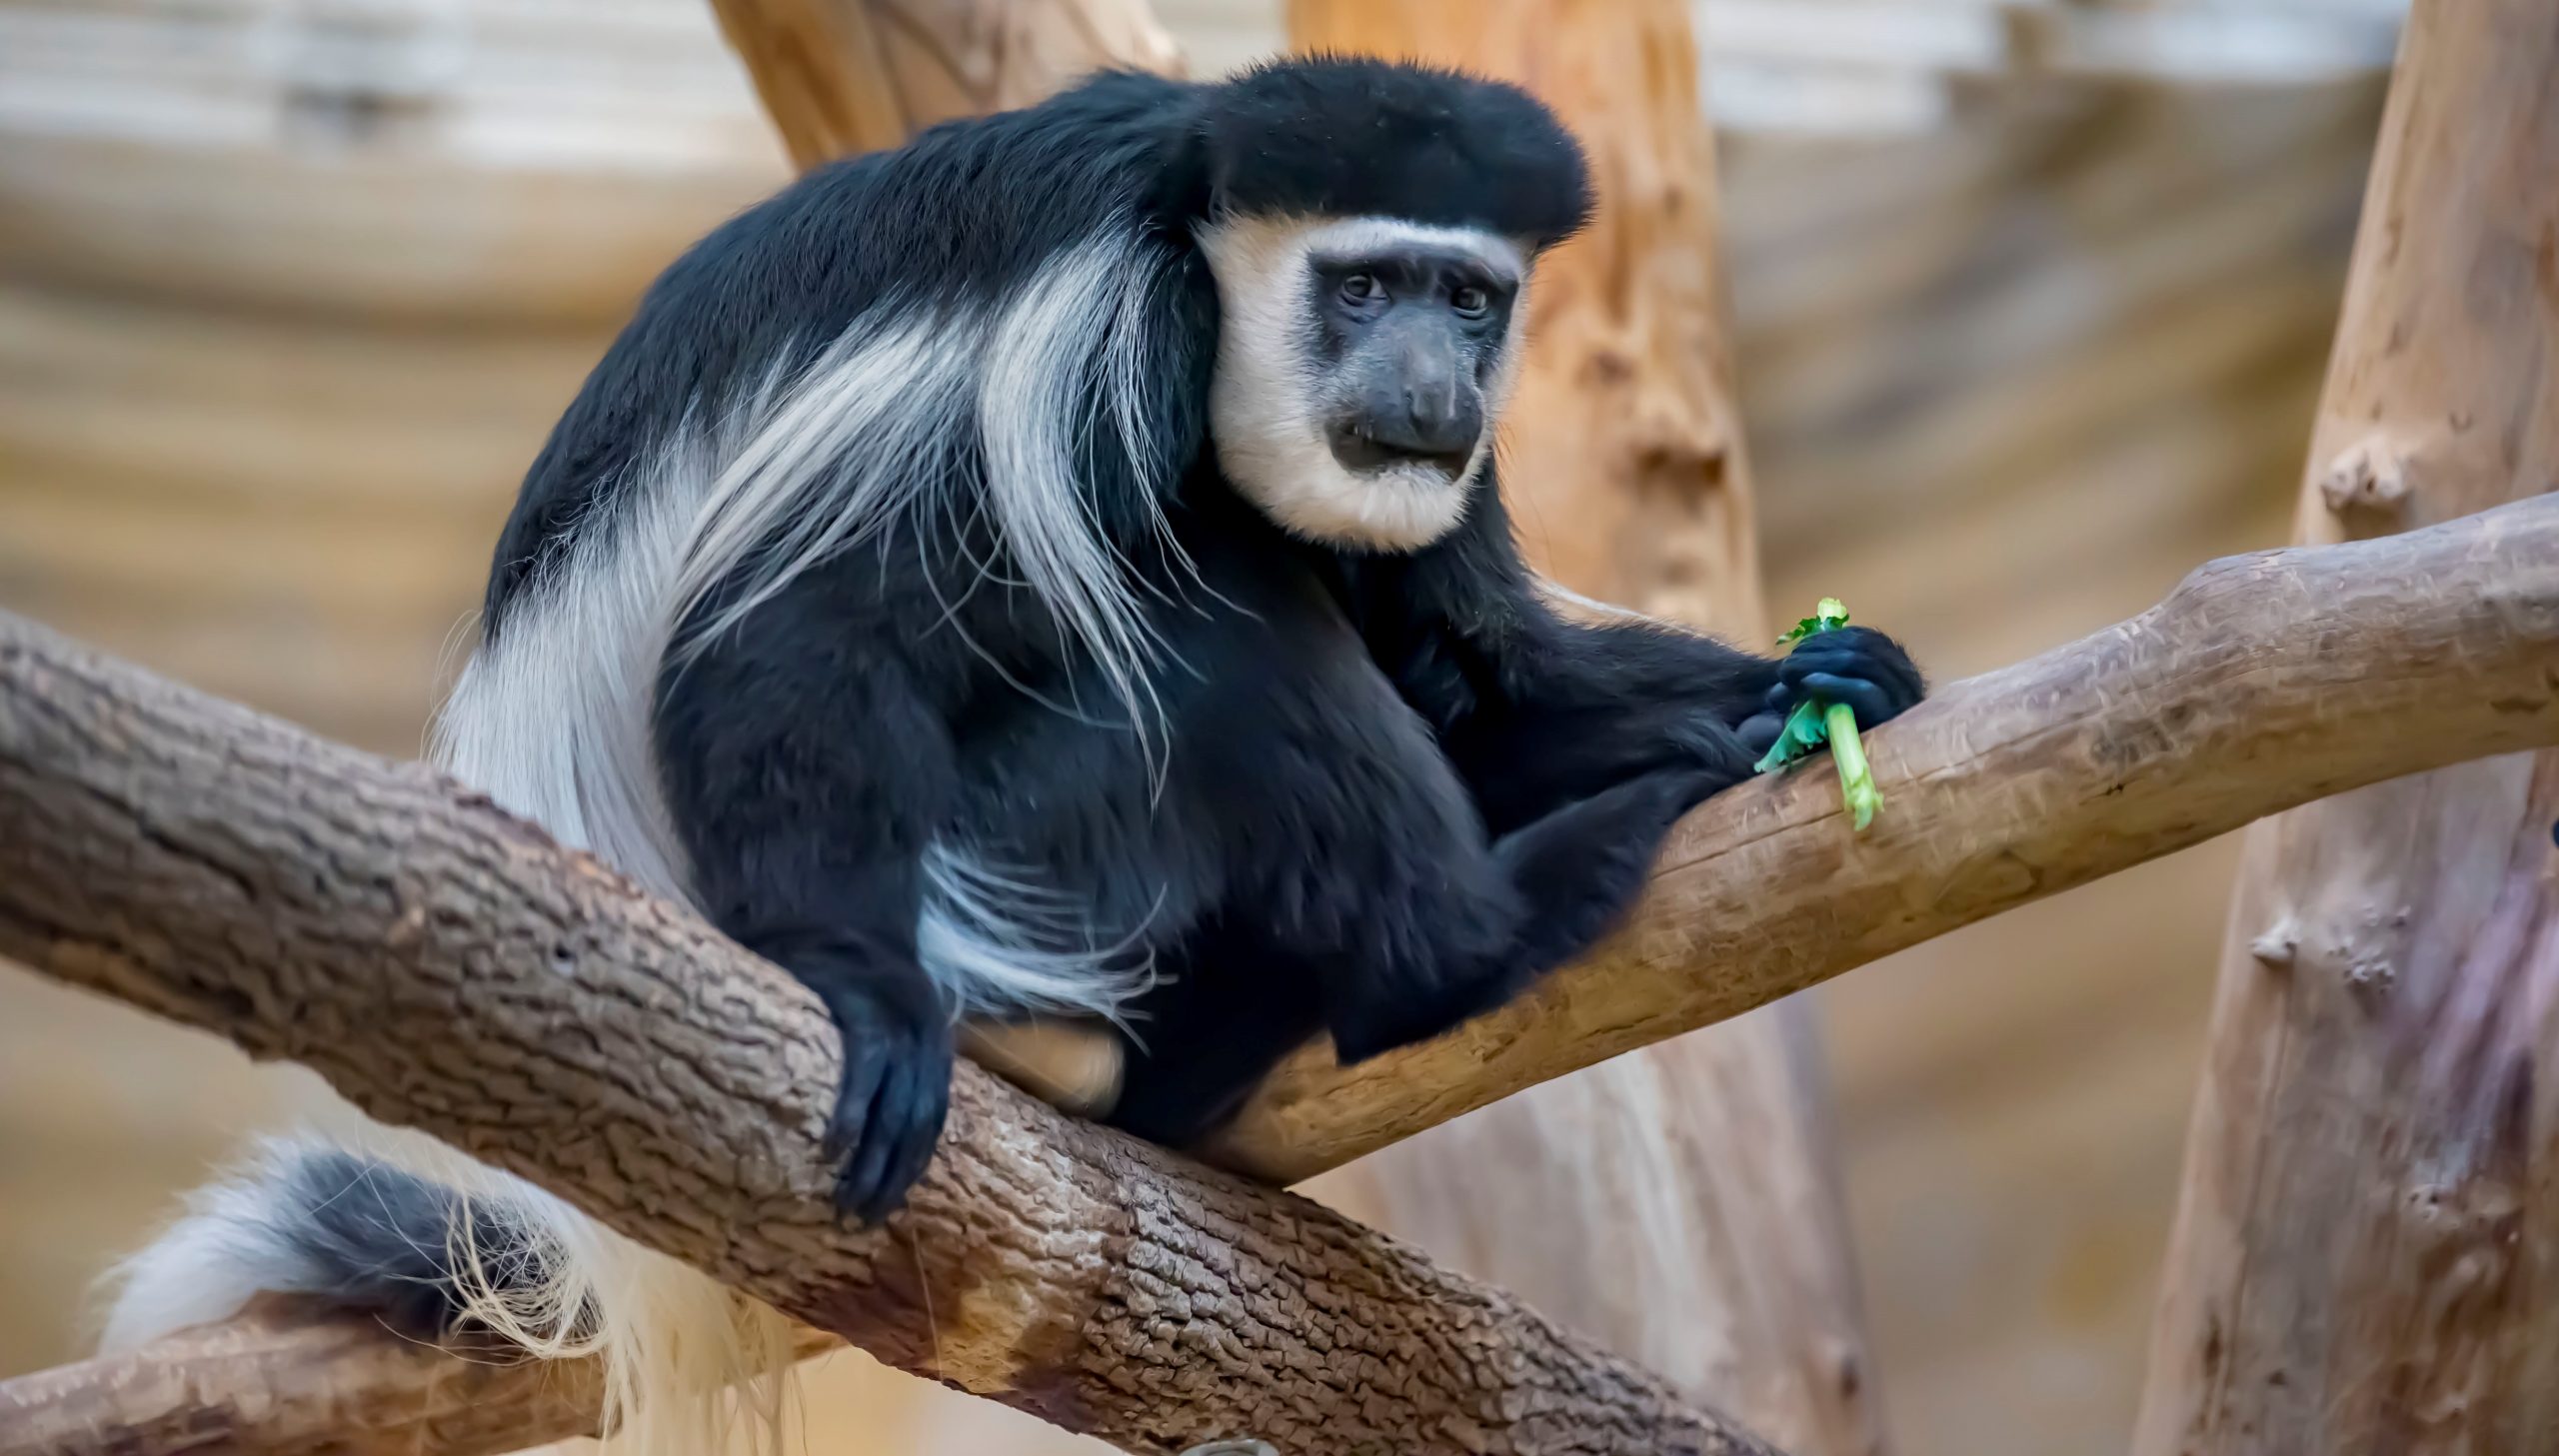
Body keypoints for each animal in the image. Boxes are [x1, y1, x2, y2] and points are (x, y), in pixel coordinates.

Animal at [110, 56, 1924, 1453]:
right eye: (1361, 288)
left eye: (1469, 299)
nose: (1427, 387)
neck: (1198, 237)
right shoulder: (1087, 338)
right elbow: (800, 630)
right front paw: (863, 997)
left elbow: (1477, 669)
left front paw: (1812, 680)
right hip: (1023, 867)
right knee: (1213, 616)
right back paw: (1477, 931)